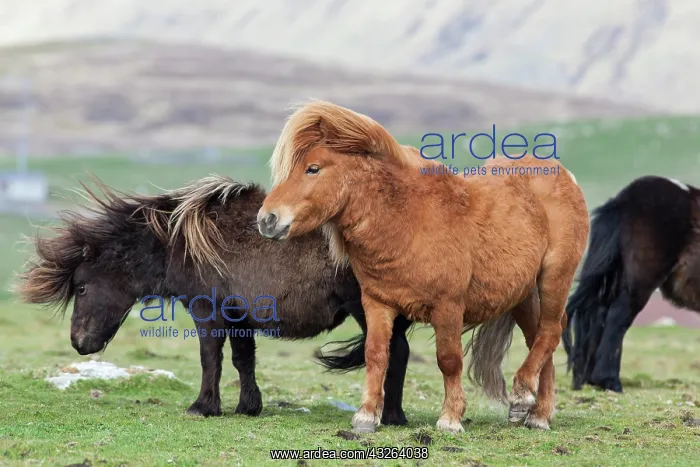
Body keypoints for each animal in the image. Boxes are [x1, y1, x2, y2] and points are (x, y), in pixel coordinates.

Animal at [17, 175, 413, 425]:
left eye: (82, 287)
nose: (79, 343)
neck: (178, 243)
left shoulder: (206, 310)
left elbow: (211, 358)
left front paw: (202, 406)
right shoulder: (239, 316)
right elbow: (242, 360)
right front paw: (248, 406)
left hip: (367, 308)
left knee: (393, 351)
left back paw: (388, 416)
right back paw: (393, 415)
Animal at [256, 100, 589, 434]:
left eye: (313, 168)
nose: (266, 219)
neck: (408, 220)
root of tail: (564, 175)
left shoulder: (448, 306)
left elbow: (449, 360)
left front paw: (451, 418)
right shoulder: (376, 303)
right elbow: (376, 354)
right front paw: (366, 416)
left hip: (554, 277)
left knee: (550, 331)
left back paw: (523, 395)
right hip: (521, 293)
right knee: (538, 338)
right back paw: (537, 413)